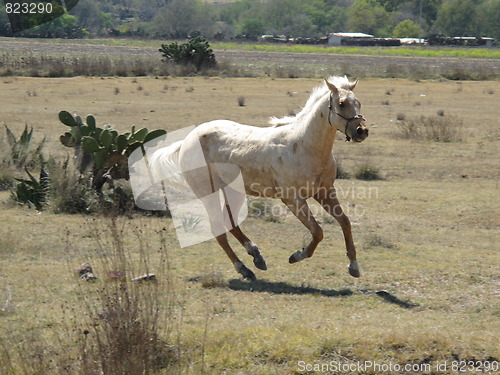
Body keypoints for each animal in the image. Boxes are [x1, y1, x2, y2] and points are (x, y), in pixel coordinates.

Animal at [148, 76, 368, 280]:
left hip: (233, 191)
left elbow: (344, 222)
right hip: (208, 193)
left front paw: (354, 266)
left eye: (358, 102)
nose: (362, 131)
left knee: (230, 222)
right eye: (342, 103)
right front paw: (297, 255)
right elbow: (317, 231)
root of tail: (187, 140)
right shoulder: (293, 200)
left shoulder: (325, 192)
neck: (304, 146)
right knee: (218, 228)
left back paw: (256, 256)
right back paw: (244, 269)